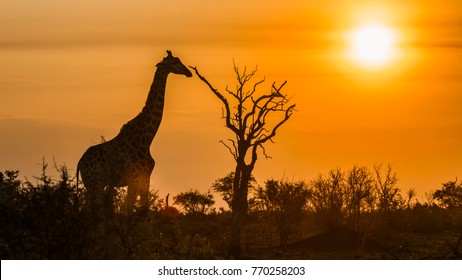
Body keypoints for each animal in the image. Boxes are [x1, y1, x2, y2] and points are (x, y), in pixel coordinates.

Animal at [76, 50, 192, 210]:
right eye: (174, 62)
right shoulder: (134, 178)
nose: (188, 72)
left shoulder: (145, 178)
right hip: (94, 182)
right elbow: (129, 208)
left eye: (179, 60)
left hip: (96, 184)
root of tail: (80, 163)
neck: (147, 138)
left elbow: (143, 208)